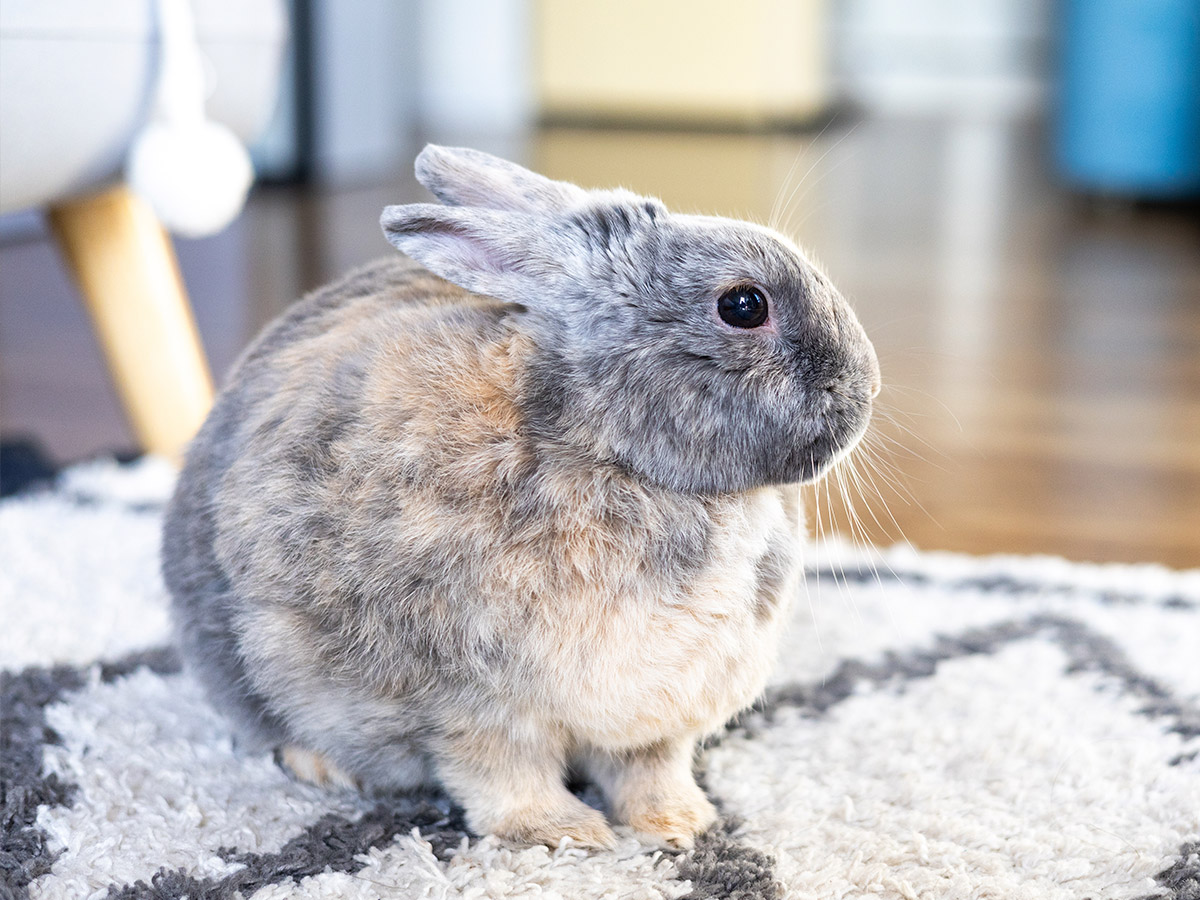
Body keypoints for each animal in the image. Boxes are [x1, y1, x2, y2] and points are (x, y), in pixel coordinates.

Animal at [162, 145, 880, 851]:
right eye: (743, 305)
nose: (867, 386)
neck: (604, 448)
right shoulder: (469, 707)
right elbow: (503, 777)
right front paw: (568, 833)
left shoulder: (660, 715)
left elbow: (648, 770)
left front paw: (679, 825)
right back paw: (326, 768)